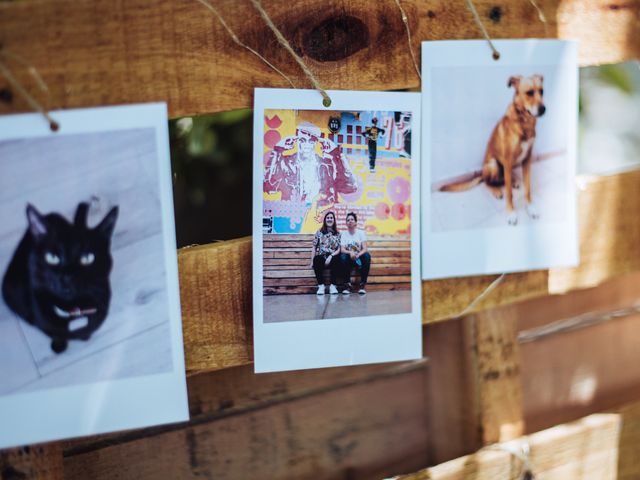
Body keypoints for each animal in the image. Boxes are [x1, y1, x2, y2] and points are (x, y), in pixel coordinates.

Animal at [1, 201, 119, 354]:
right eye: (52, 257)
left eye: (87, 258)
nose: (67, 276)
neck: (73, 312)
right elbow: (56, 334)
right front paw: (58, 345)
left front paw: (85, 336)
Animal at [442, 74, 548, 226]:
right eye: (529, 93)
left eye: (542, 91)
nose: (543, 109)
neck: (523, 121)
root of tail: (482, 173)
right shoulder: (508, 162)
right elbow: (509, 194)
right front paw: (511, 213)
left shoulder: (527, 159)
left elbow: (528, 189)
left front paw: (531, 208)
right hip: (493, 165)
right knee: (488, 182)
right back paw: (496, 190)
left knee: (504, 180)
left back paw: (514, 181)